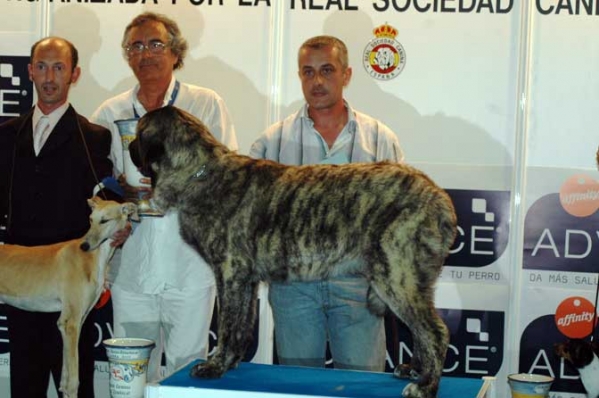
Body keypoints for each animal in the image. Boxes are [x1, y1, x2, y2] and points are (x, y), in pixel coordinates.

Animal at [132, 105, 460, 398]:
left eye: (138, 131)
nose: (130, 146)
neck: (201, 171)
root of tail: (439, 196)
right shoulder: (246, 280)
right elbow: (241, 325)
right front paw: (232, 362)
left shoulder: (229, 273)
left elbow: (227, 324)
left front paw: (215, 365)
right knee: (421, 330)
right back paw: (416, 370)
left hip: (396, 277)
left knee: (434, 331)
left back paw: (426, 386)